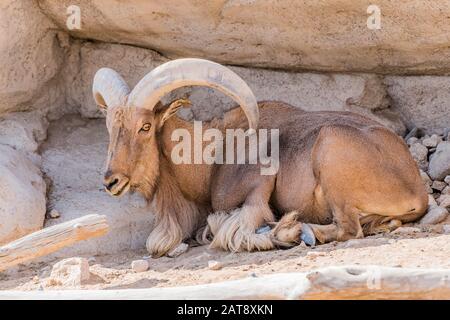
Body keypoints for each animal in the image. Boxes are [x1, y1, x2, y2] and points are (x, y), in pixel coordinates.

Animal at [93, 58, 428, 258]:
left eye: (145, 126)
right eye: (109, 127)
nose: (112, 181)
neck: (213, 158)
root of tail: (416, 190)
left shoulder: (255, 194)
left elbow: (233, 230)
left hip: (331, 147)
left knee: (348, 228)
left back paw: (296, 231)